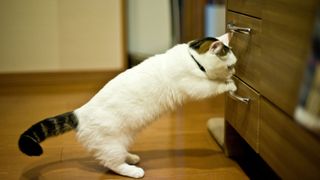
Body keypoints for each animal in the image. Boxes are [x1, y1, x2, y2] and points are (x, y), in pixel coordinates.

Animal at [18, 32, 238, 179]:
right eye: (230, 66)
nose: (235, 72)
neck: (192, 57)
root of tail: (79, 113)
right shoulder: (195, 87)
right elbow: (212, 86)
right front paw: (230, 84)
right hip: (112, 144)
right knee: (111, 162)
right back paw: (133, 170)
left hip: (123, 139)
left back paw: (131, 157)